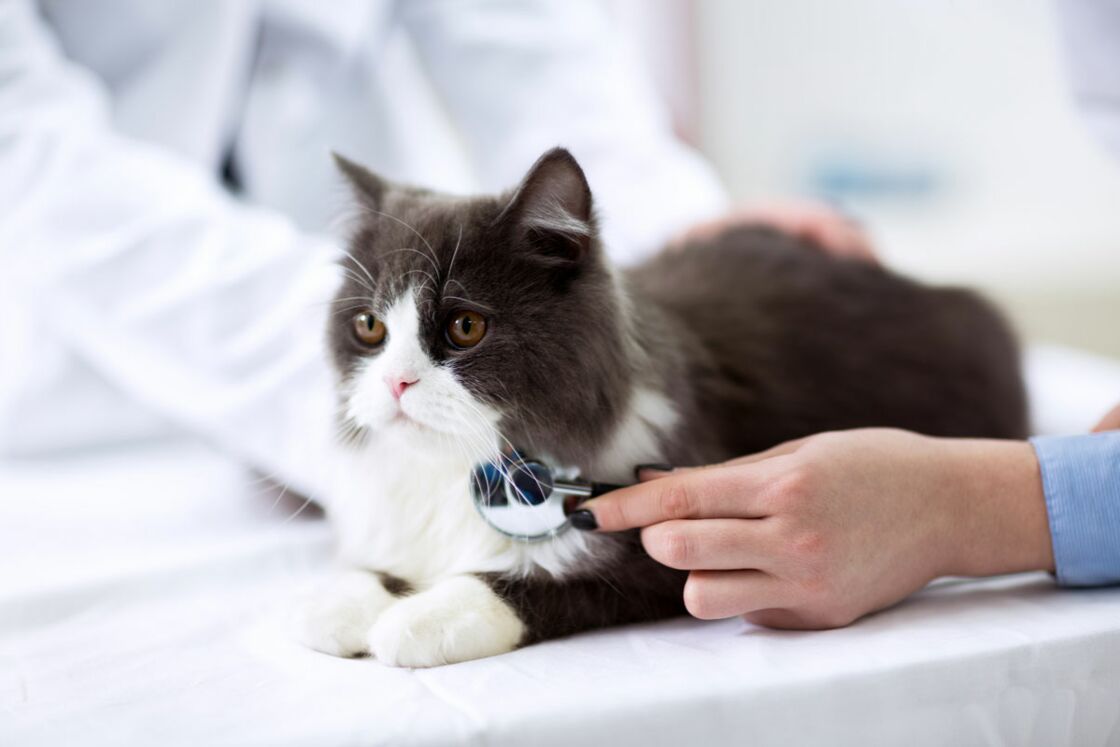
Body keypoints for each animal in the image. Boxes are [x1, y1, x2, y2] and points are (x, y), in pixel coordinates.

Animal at [295, 144, 1025, 667]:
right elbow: (375, 564)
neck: (459, 469)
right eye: (369, 327)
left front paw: (424, 616)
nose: (396, 383)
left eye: (464, 327)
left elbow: (544, 582)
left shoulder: (671, 547)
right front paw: (348, 598)